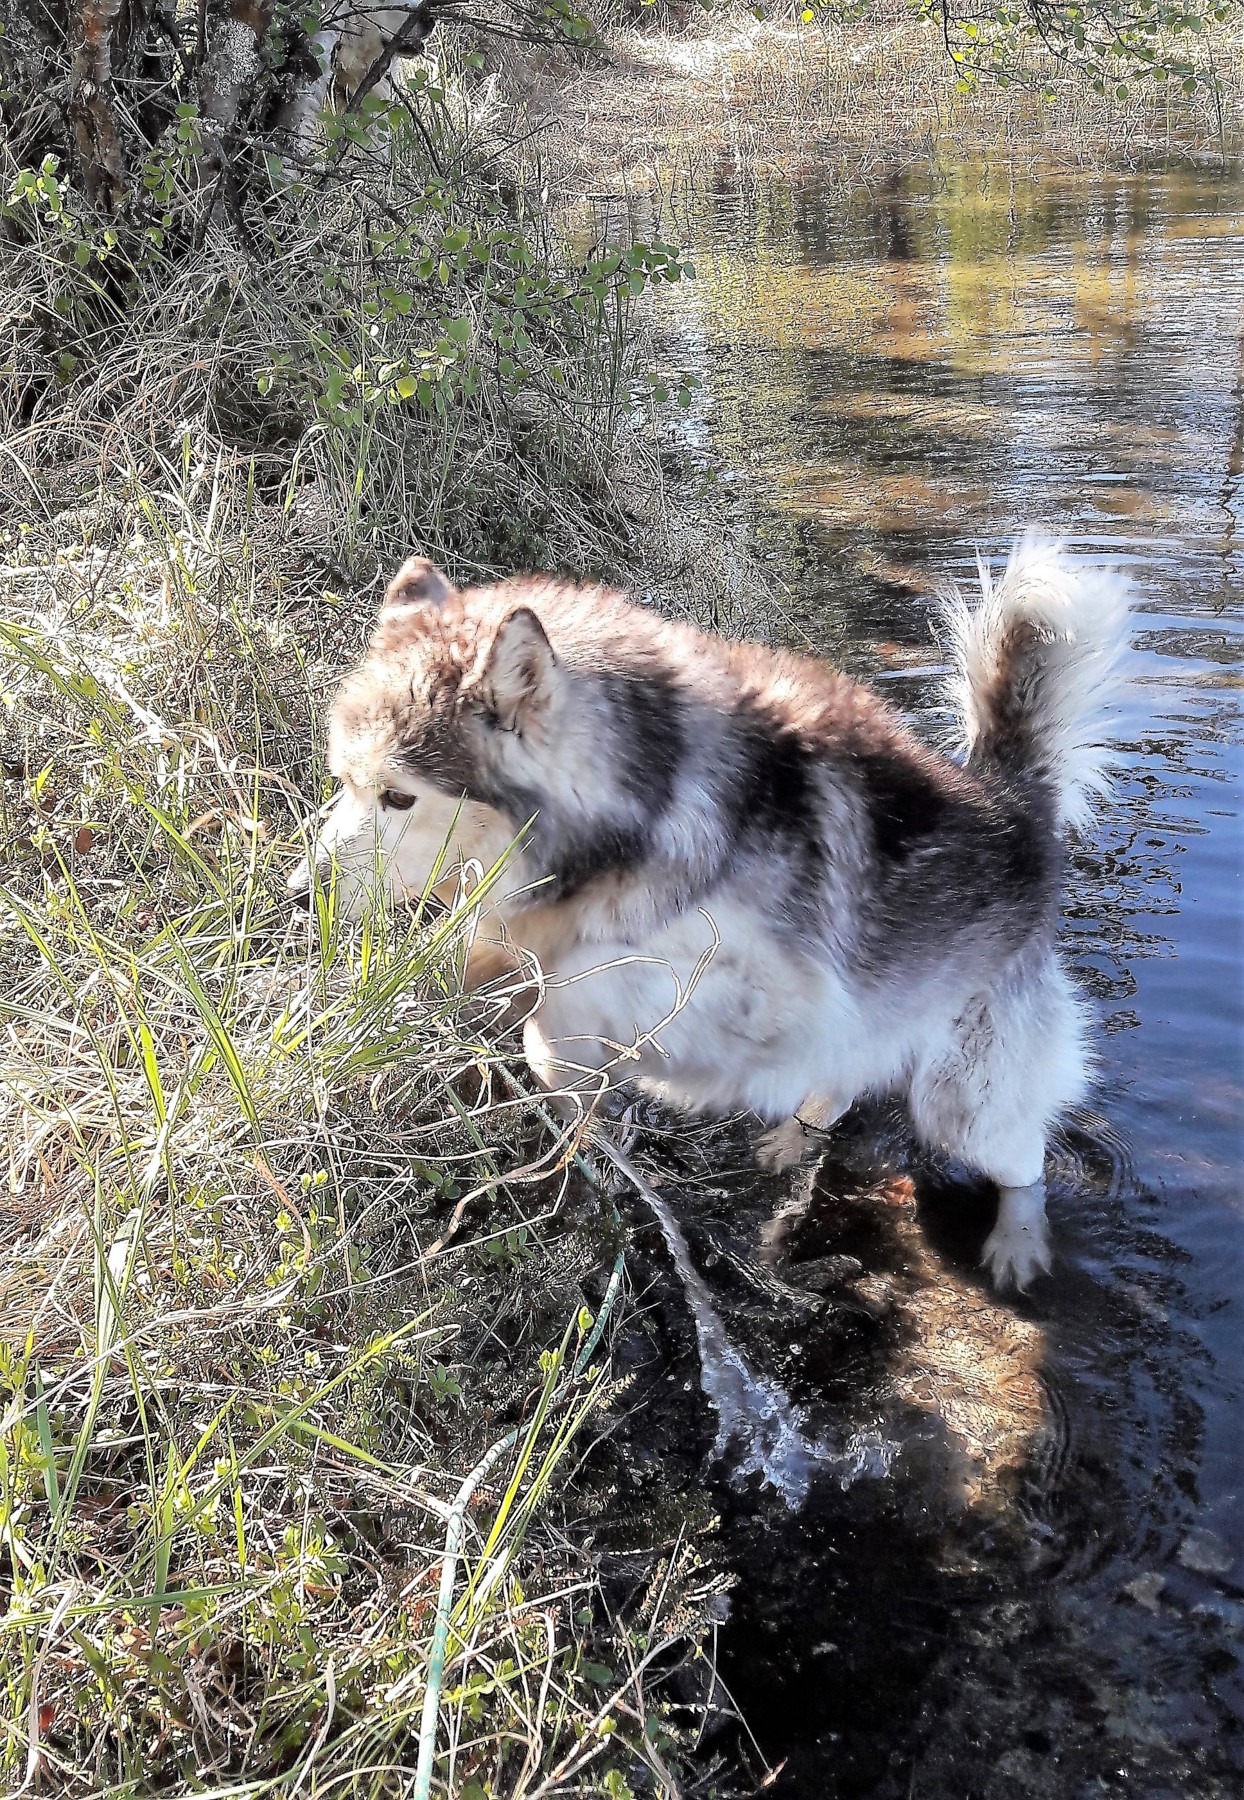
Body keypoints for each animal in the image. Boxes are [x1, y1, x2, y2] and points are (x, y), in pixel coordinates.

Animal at [289, 540, 1130, 1288]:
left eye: (399, 797)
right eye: (342, 782)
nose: (300, 896)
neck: (634, 820)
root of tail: (1013, 804)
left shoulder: (770, 996)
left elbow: (572, 1001)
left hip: (964, 1101)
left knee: (1023, 1163)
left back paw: (1018, 1242)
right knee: (845, 1079)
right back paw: (794, 1141)